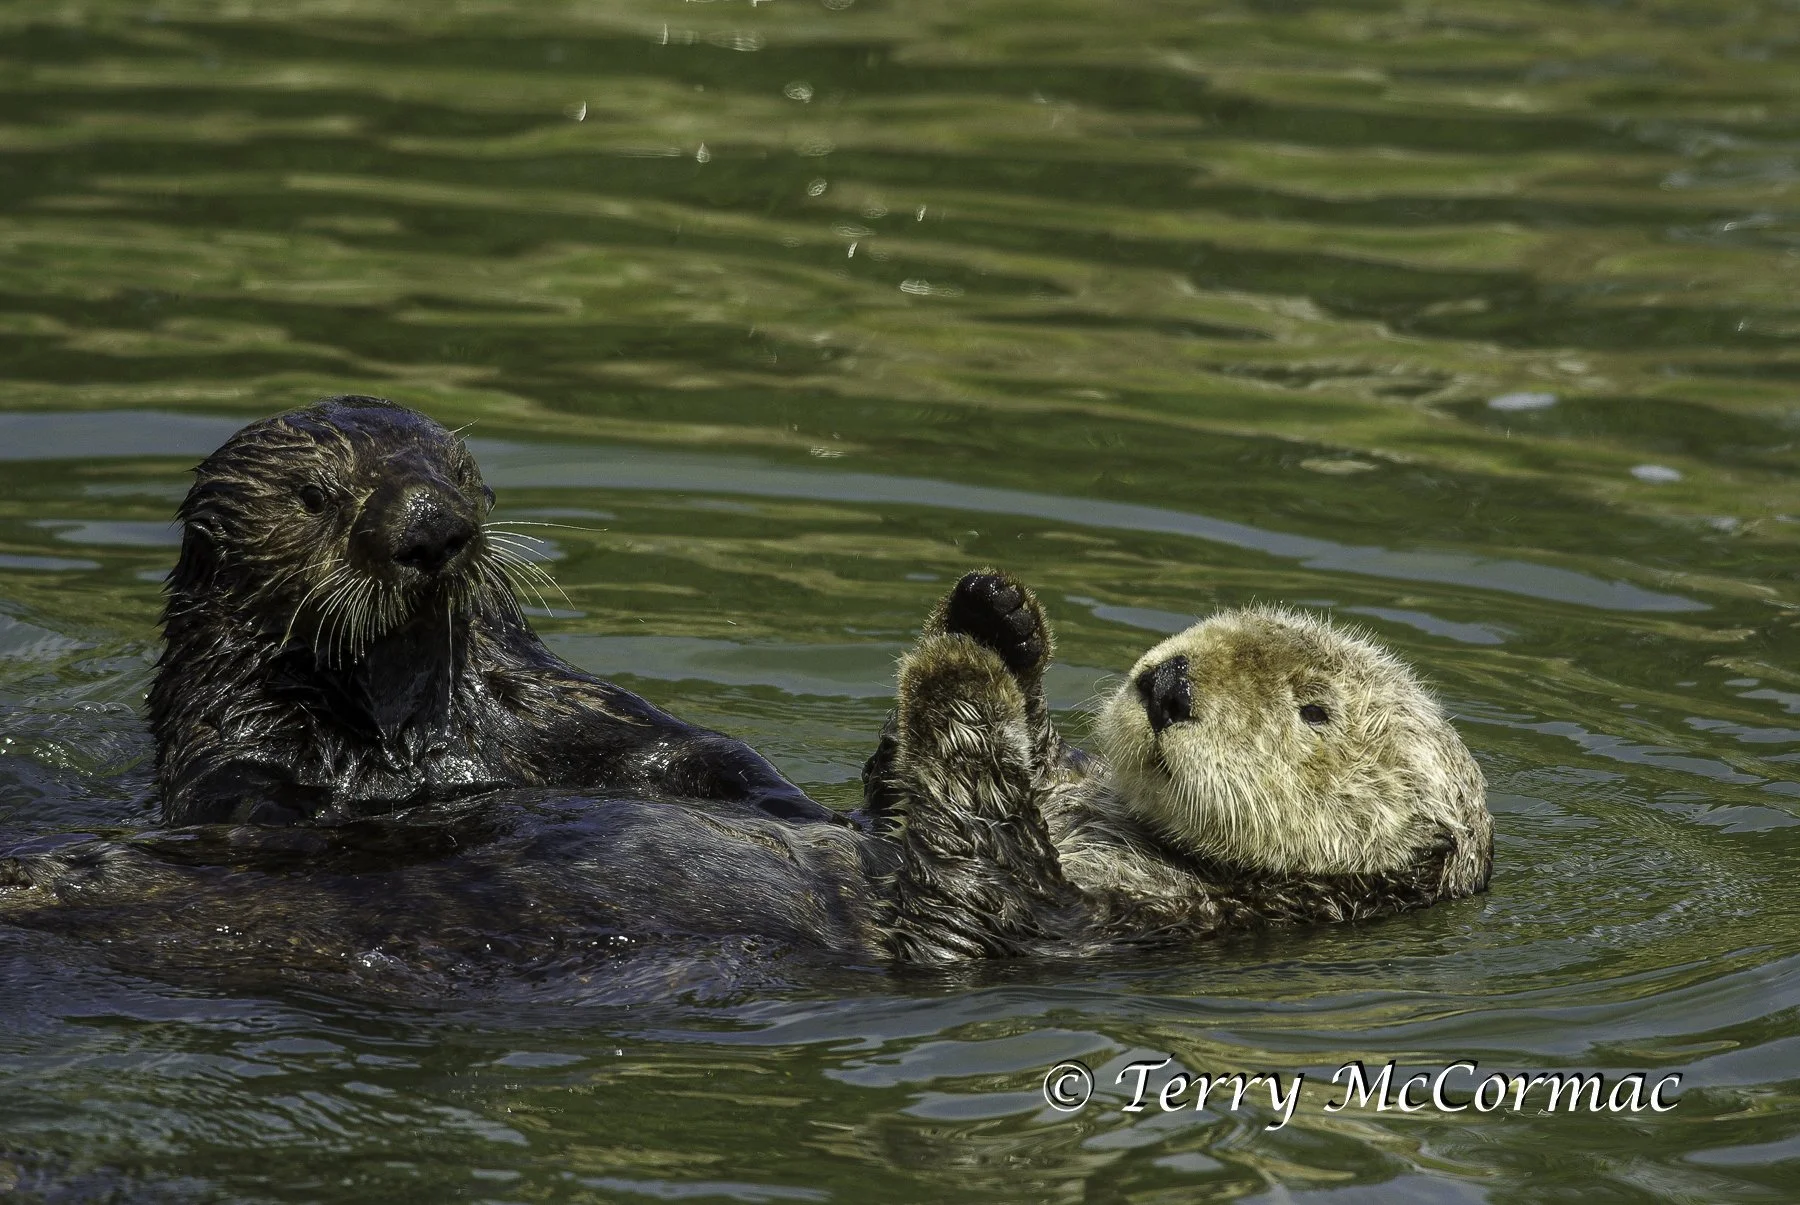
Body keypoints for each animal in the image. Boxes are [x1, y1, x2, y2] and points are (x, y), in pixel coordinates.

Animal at [149, 395, 835, 827]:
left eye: (456, 471)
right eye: (314, 496)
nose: (431, 522)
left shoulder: (549, 703)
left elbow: (686, 749)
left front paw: (806, 808)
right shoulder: (228, 745)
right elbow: (243, 797)